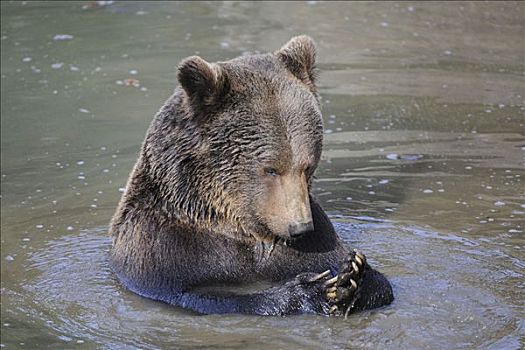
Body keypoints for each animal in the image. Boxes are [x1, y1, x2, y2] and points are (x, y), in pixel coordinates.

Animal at [108, 36, 390, 318]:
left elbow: (377, 283)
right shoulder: (165, 250)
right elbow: (201, 295)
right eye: (271, 169)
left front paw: (353, 274)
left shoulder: (318, 238)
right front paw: (312, 290)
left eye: (307, 166)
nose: (300, 227)